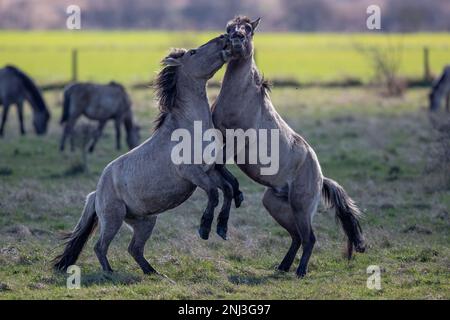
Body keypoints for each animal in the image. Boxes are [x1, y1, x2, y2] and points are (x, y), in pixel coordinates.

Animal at [53, 34, 241, 276]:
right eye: (193, 52)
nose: (225, 38)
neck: (189, 127)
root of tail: (96, 192)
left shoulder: (210, 170)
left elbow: (227, 189)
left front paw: (222, 227)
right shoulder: (193, 173)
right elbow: (214, 194)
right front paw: (204, 228)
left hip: (145, 222)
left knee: (134, 248)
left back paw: (153, 272)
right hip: (113, 218)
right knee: (100, 246)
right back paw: (110, 273)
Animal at [212, 16, 366, 278]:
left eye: (249, 30)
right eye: (229, 29)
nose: (237, 39)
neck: (242, 98)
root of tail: (321, 177)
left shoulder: (237, 142)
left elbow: (218, 166)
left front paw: (232, 204)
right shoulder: (221, 137)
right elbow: (216, 165)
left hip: (301, 208)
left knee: (309, 238)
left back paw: (300, 271)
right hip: (276, 204)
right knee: (296, 237)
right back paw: (283, 266)